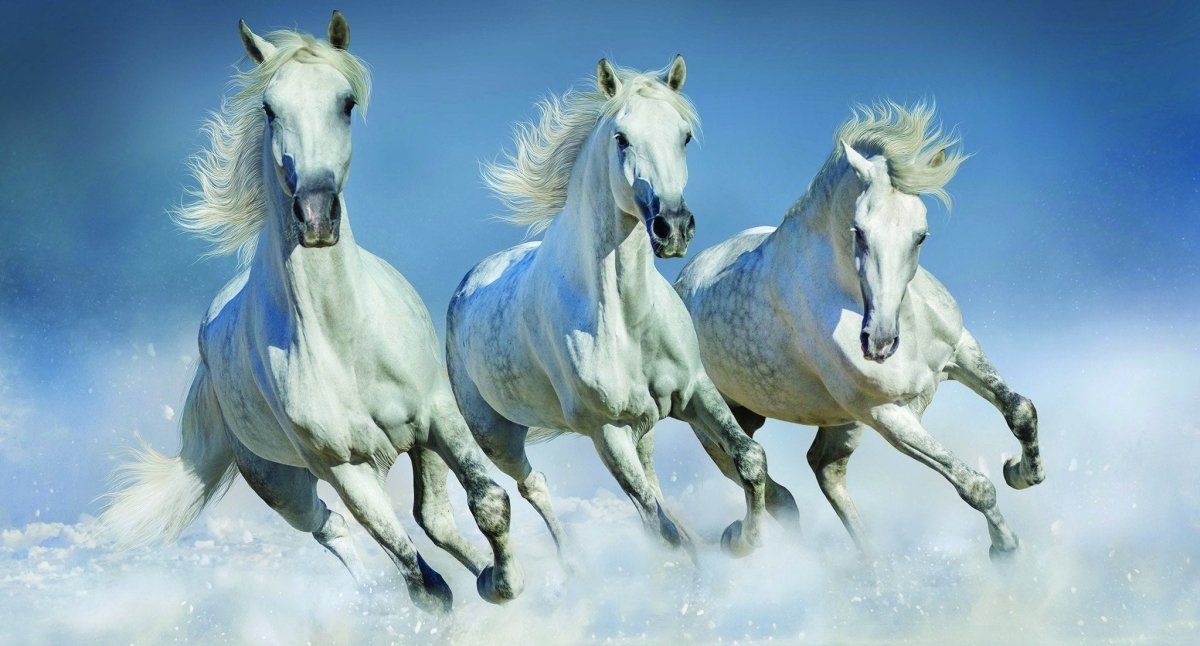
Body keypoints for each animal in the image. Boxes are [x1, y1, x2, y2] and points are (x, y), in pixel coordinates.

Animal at [100, 12, 522, 613]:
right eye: (270, 108)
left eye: (346, 102)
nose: (317, 215)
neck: (344, 338)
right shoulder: (345, 467)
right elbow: (421, 582)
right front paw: (479, 592)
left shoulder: (438, 417)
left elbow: (488, 502)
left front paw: (504, 582)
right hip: (282, 484)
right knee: (331, 527)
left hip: (418, 444)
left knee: (434, 518)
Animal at [446, 56, 793, 566]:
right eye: (621, 137)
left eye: (684, 136)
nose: (673, 228)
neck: (626, 319)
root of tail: (467, 284)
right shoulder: (604, 429)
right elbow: (658, 525)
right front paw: (725, 549)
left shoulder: (694, 391)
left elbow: (749, 460)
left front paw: (741, 540)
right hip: (499, 437)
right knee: (535, 486)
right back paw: (571, 567)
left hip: (642, 425)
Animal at [674, 101, 1044, 560]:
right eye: (860, 231)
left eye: (921, 236)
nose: (879, 344)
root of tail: (682, 281)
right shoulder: (883, 413)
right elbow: (973, 485)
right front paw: (1006, 549)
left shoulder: (960, 352)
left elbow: (1021, 410)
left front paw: (1021, 472)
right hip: (718, 419)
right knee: (758, 476)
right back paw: (744, 540)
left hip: (835, 421)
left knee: (824, 468)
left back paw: (873, 564)